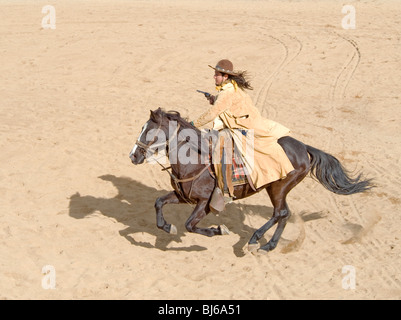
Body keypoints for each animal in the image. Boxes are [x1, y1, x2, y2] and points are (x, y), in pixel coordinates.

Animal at [128, 107, 372, 252]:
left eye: (148, 131)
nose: (133, 156)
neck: (194, 159)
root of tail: (303, 148)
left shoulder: (205, 203)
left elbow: (189, 224)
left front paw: (218, 230)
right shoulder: (183, 196)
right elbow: (159, 203)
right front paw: (167, 227)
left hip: (278, 188)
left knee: (280, 213)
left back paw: (256, 240)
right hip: (279, 190)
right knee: (284, 214)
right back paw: (269, 245)